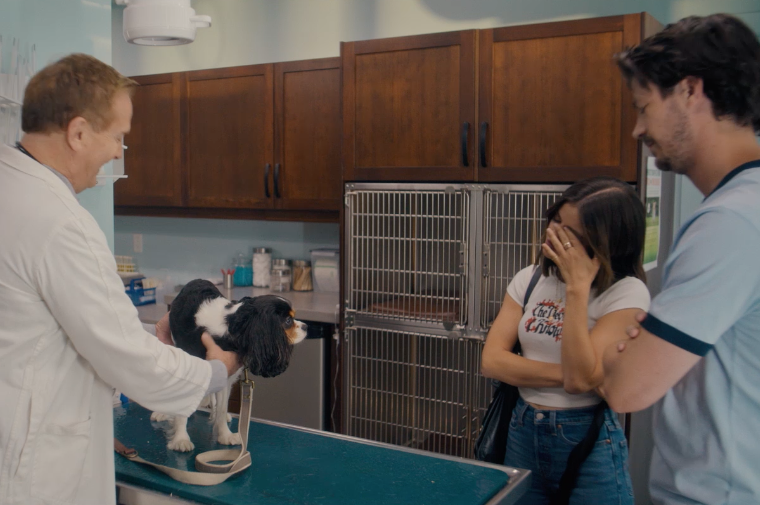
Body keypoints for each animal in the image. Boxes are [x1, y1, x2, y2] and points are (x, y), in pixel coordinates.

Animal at [153, 278, 308, 450]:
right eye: (288, 321)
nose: (306, 327)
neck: (231, 326)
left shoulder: (224, 374)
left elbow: (221, 408)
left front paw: (225, 435)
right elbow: (181, 411)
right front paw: (181, 439)